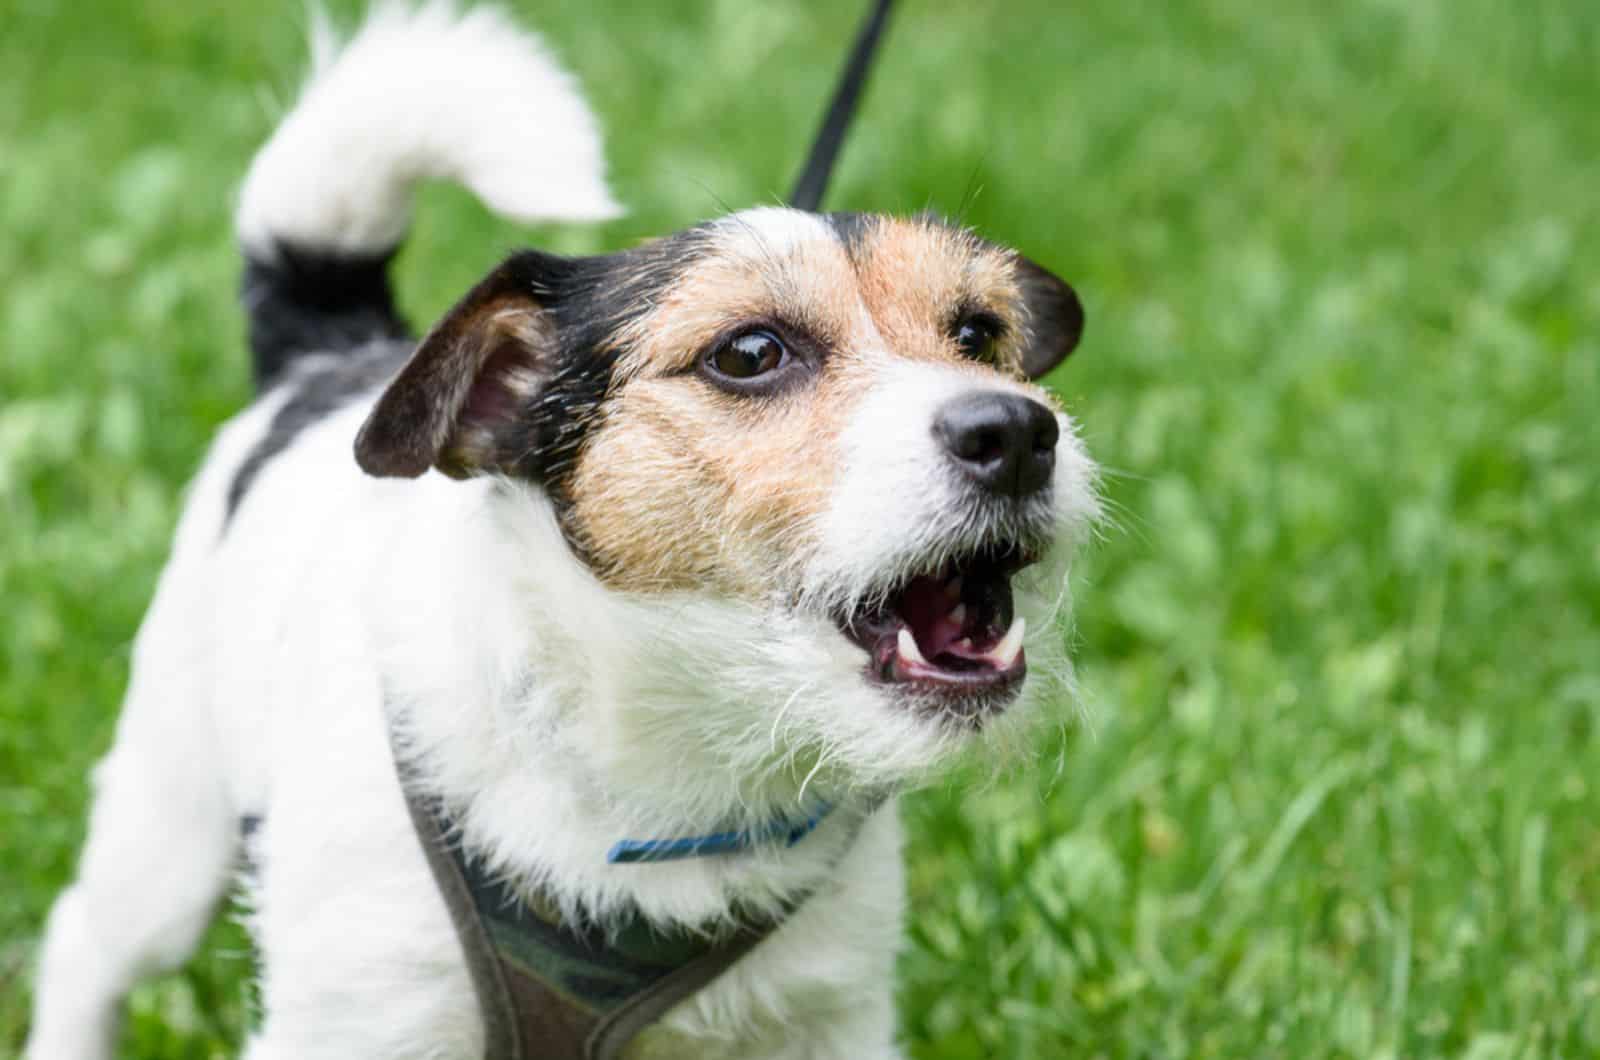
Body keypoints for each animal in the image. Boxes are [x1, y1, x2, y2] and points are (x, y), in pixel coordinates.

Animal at [25, 4, 1100, 1056]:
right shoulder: (357, 1013)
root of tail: (329, 355)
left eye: (979, 334)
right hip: (169, 830)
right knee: (85, 939)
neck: (669, 774)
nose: (1016, 434)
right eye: (750, 352)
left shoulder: (827, 1021)